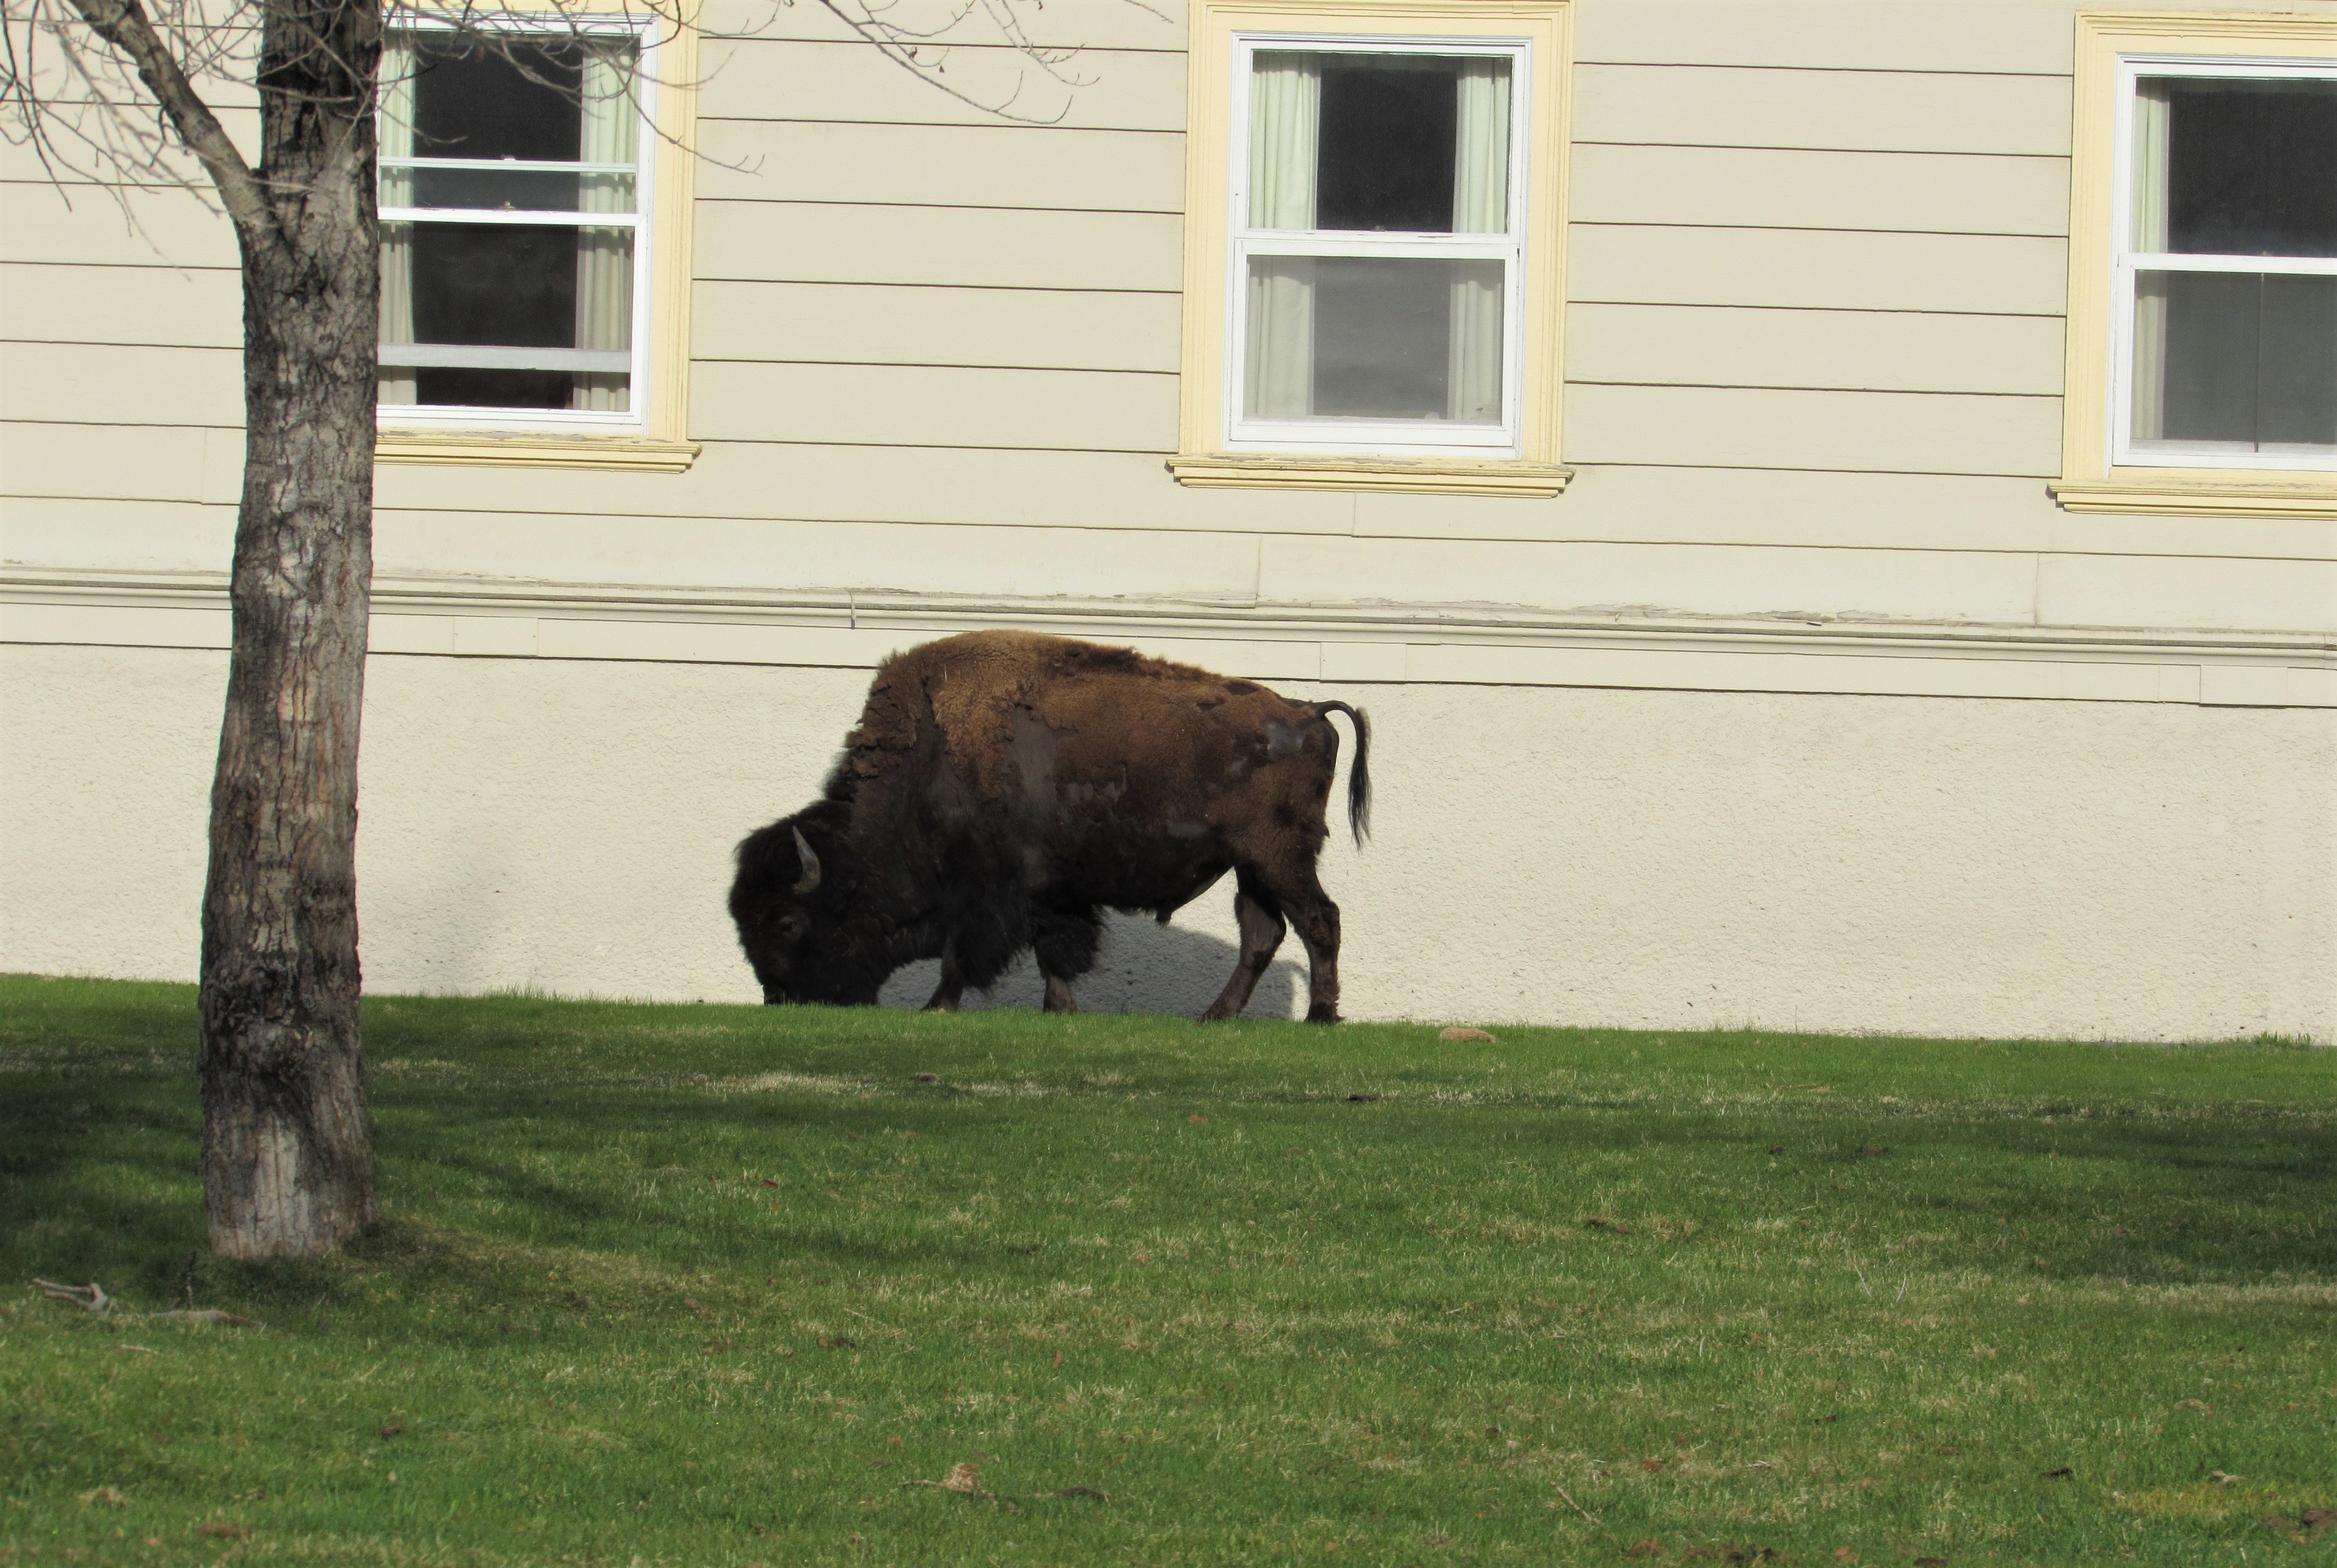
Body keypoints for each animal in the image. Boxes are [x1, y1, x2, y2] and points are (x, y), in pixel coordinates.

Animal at [729, 630, 1365, 1023]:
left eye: (786, 922)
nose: (778, 997)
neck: (930, 758)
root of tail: (1306, 711)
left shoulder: (983, 892)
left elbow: (965, 954)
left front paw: (937, 1007)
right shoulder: (1047, 893)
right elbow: (1052, 949)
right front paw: (1059, 1009)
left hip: (1279, 856)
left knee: (1319, 920)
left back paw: (1320, 1016)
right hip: (1250, 865)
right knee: (1263, 933)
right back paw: (1214, 1016)